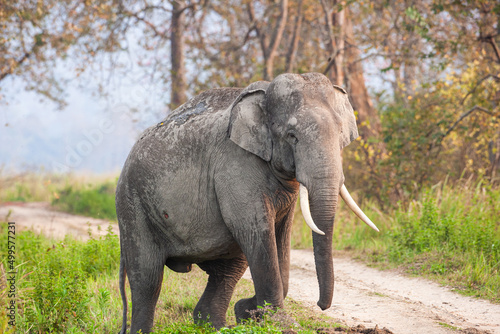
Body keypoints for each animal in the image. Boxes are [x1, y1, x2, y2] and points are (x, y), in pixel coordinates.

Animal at [114, 72, 378, 332]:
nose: (321, 305)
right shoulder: (235, 166)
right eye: (292, 136)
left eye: (340, 133)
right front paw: (277, 323)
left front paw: (249, 313)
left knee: (228, 270)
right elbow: (257, 230)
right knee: (147, 279)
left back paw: (216, 325)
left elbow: (281, 234)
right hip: (132, 204)